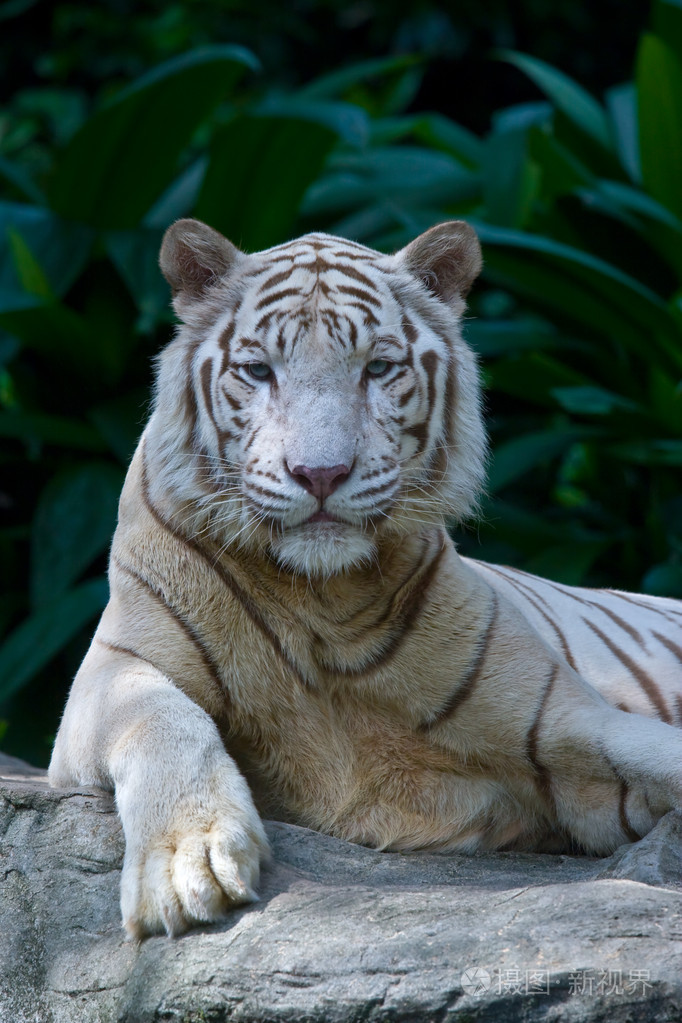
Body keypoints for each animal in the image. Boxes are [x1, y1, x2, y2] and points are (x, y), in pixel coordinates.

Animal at [49, 219, 682, 937]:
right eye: (259, 370)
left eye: (376, 368)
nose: (320, 473)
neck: (320, 599)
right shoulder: (112, 672)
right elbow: (163, 722)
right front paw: (190, 862)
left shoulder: (569, 725)